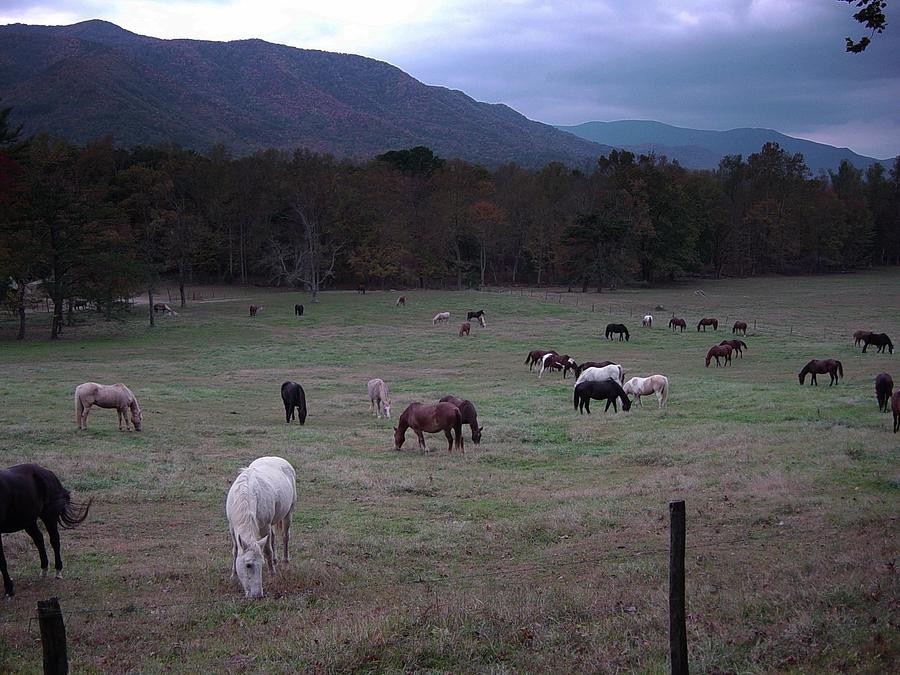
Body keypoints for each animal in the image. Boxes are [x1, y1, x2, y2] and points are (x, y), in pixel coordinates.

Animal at [0, 462, 91, 600]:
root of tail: (48, 472)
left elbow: (1, 561)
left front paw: (9, 590)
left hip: (49, 516)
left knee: (54, 540)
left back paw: (58, 571)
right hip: (29, 520)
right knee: (39, 539)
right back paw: (43, 570)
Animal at [227, 456, 298, 600]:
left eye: (262, 564)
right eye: (248, 565)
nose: (258, 595)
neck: (247, 494)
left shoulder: (265, 526)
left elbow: (267, 551)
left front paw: (272, 574)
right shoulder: (232, 528)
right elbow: (235, 551)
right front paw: (233, 575)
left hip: (288, 514)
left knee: (285, 537)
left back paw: (285, 563)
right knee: (273, 538)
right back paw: (275, 561)